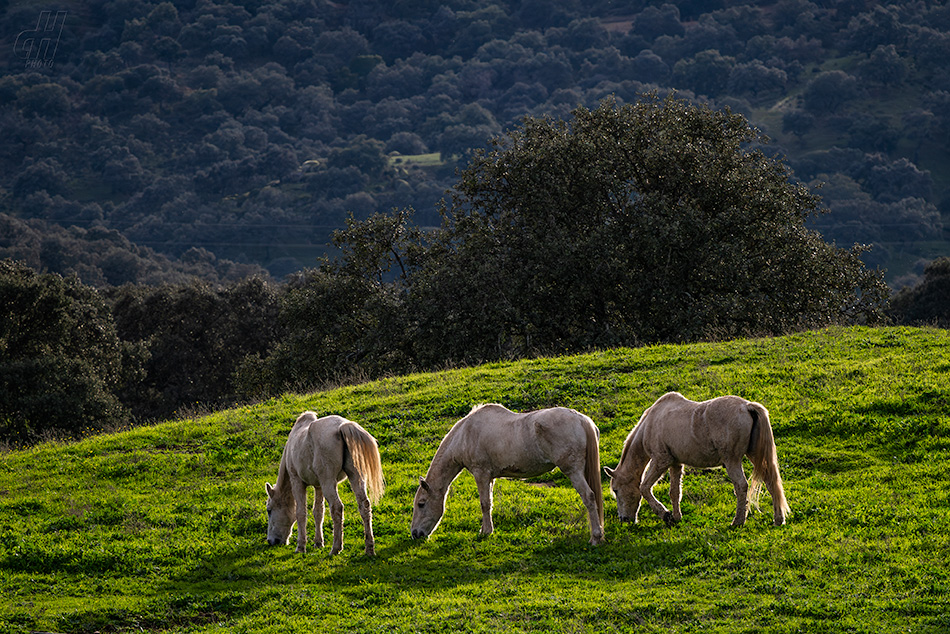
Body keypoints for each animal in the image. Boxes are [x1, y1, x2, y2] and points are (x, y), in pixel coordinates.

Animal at [266, 410, 384, 552]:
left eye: (269, 510)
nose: (271, 541)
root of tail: (342, 426)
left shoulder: (297, 482)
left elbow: (301, 513)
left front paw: (301, 546)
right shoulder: (319, 486)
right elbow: (318, 511)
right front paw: (318, 542)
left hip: (328, 482)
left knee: (337, 507)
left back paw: (336, 548)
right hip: (354, 476)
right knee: (364, 505)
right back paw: (369, 548)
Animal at [410, 404, 608, 544]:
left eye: (421, 504)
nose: (415, 534)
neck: (465, 435)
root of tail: (582, 420)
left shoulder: (481, 473)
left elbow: (484, 504)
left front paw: (486, 532)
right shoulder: (490, 477)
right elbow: (489, 503)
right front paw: (486, 529)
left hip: (573, 471)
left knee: (589, 497)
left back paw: (595, 537)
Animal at [608, 392, 792, 524]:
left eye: (616, 490)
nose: (624, 520)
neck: (651, 423)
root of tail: (747, 406)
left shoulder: (661, 461)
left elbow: (644, 488)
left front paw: (665, 515)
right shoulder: (675, 464)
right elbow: (675, 492)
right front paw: (676, 517)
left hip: (732, 460)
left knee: (741, 486)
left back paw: (738, 521)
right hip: (755, 456)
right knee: (770, 482)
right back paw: (778, 519)